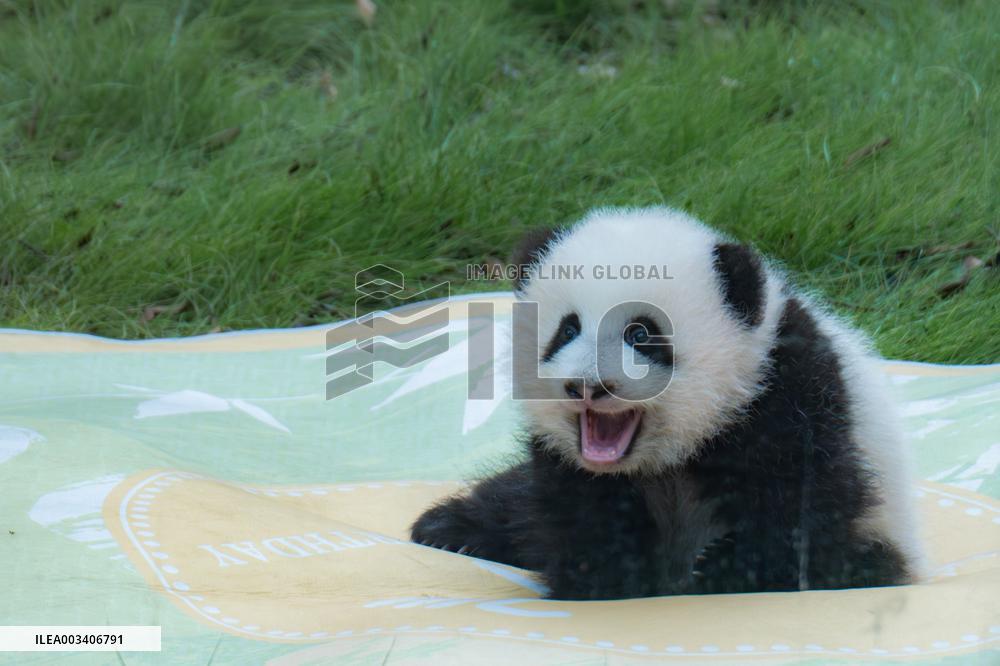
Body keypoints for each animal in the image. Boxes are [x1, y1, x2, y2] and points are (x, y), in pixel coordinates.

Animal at [411, 206, 923, 600]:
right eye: (567, 329)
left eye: (641, 334)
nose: (587, 386)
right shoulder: (568, 462)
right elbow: (577, 505)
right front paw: (604, 576)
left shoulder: (789, 391)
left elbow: (805, 501)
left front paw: (725, 569)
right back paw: (448, 528)